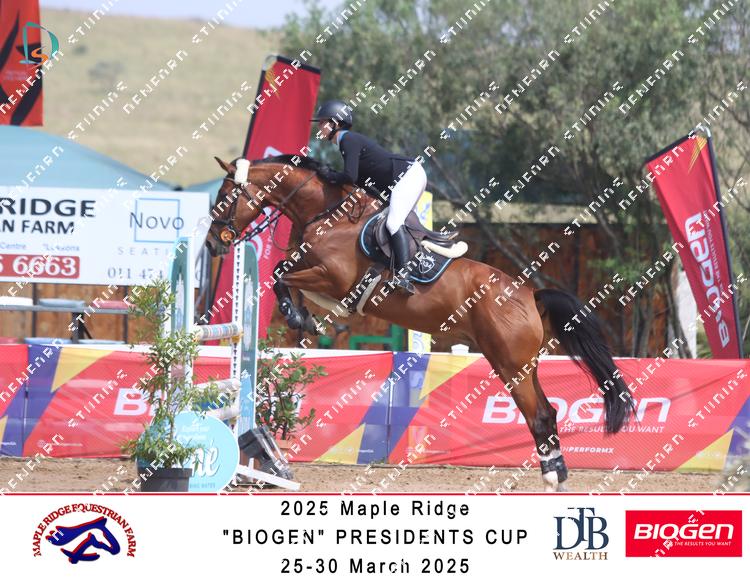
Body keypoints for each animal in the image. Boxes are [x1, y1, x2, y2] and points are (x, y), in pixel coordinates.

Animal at [206, 155, 635, 492]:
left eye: (225, 197)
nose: (213, 244)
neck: (327, 214)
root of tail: (529, 295)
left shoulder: (332, 278)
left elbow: (280, 273)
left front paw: (297, 315)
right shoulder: (316, 273)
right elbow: (285, 272)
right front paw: (304, 318)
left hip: (511, 364)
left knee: (540, 414)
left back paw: (551, 478)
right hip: (519, 364)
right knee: (546, 413)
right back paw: (556, 476)